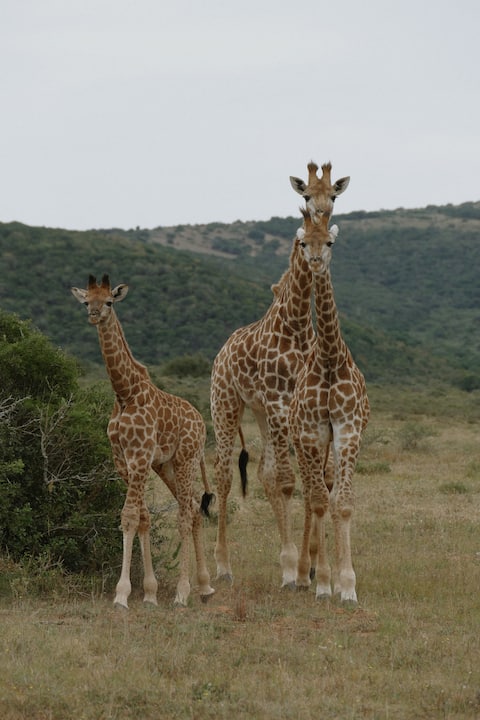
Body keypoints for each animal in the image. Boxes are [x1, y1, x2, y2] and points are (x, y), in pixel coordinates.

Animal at [71, 274, 215, 608]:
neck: (125, 393)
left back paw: (183, 592)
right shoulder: (123, 460)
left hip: (186, 459)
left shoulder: (138, 457)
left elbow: (129, 515)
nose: (94, 315)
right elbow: (143, 517)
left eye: (109, 302)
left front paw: (122, 594)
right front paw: (149, 592)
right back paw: (204, 586)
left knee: (185, 513)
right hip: (167, 466)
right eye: (86, 302)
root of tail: (202, 423)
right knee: (192, 506)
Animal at [210, 183, 348, 587]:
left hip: (259, 412)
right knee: (224, 474)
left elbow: (314, 481)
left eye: (334, 197)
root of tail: (222, 351)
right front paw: (293, 570)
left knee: (263, 473)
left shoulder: (295, 407)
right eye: (301, 240)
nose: (321, 216)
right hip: (226, 404)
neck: (297, 326)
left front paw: (310, 566)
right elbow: (289, 481)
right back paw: (223, 566)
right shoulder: (278, 402)